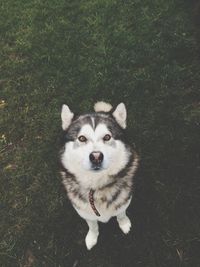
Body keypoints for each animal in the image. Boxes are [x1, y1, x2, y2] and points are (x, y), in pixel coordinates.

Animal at [59, 102, 139, 251]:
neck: (97, 186)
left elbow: (121, 214)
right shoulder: (85, 212)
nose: (96, 157)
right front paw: (92, 237)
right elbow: (93, 225)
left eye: (107, 137)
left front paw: (124, 224)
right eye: (82, 138)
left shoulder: (123, 202)